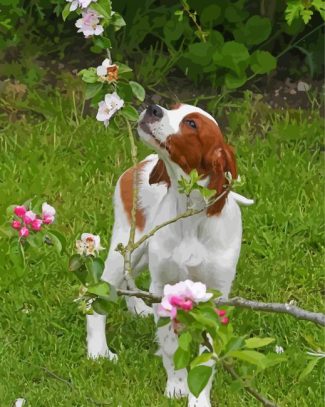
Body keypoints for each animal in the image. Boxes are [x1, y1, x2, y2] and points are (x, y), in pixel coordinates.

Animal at [86, 103, 253, 406]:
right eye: (174, 107)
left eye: (191, 124)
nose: (153, 107)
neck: (191, 215)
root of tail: (141, 163)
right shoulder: (163, 287)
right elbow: (170, 348)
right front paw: (177, 387)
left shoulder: (215, 299)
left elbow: (207, 359)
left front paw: (198, 398)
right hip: (128, 242)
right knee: (97, 297)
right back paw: (98, 352)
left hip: (138, 250)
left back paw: (137, 310)